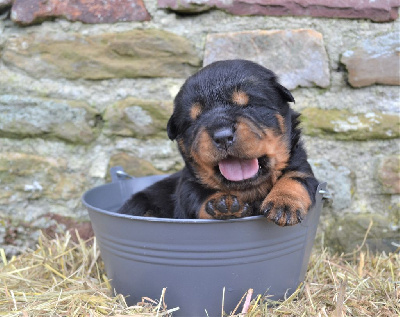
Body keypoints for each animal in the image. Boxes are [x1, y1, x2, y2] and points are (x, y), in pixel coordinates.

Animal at [118, 59, 318, 225]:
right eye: (194, 120)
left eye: (249, 105)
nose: (222, 136)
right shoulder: (188, 185)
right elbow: (196, 196)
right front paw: (223, 203)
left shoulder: (301, 164)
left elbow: (296, 177)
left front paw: (284, 202)